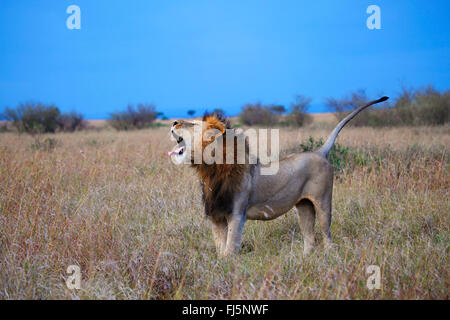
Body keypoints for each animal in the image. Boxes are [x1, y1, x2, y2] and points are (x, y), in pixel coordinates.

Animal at [167, 96, 388, 256]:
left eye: (192, 124)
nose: (174, 121)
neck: (211, 170)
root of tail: (319, 152)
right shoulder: (216, 216)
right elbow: (220, 248)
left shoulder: (236, 214)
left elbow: (230, 248)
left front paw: (228, 268)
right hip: (304, 207)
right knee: (310, 238)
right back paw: (303, 260)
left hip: (324, 202)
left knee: (327, 235)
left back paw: (330, 257)